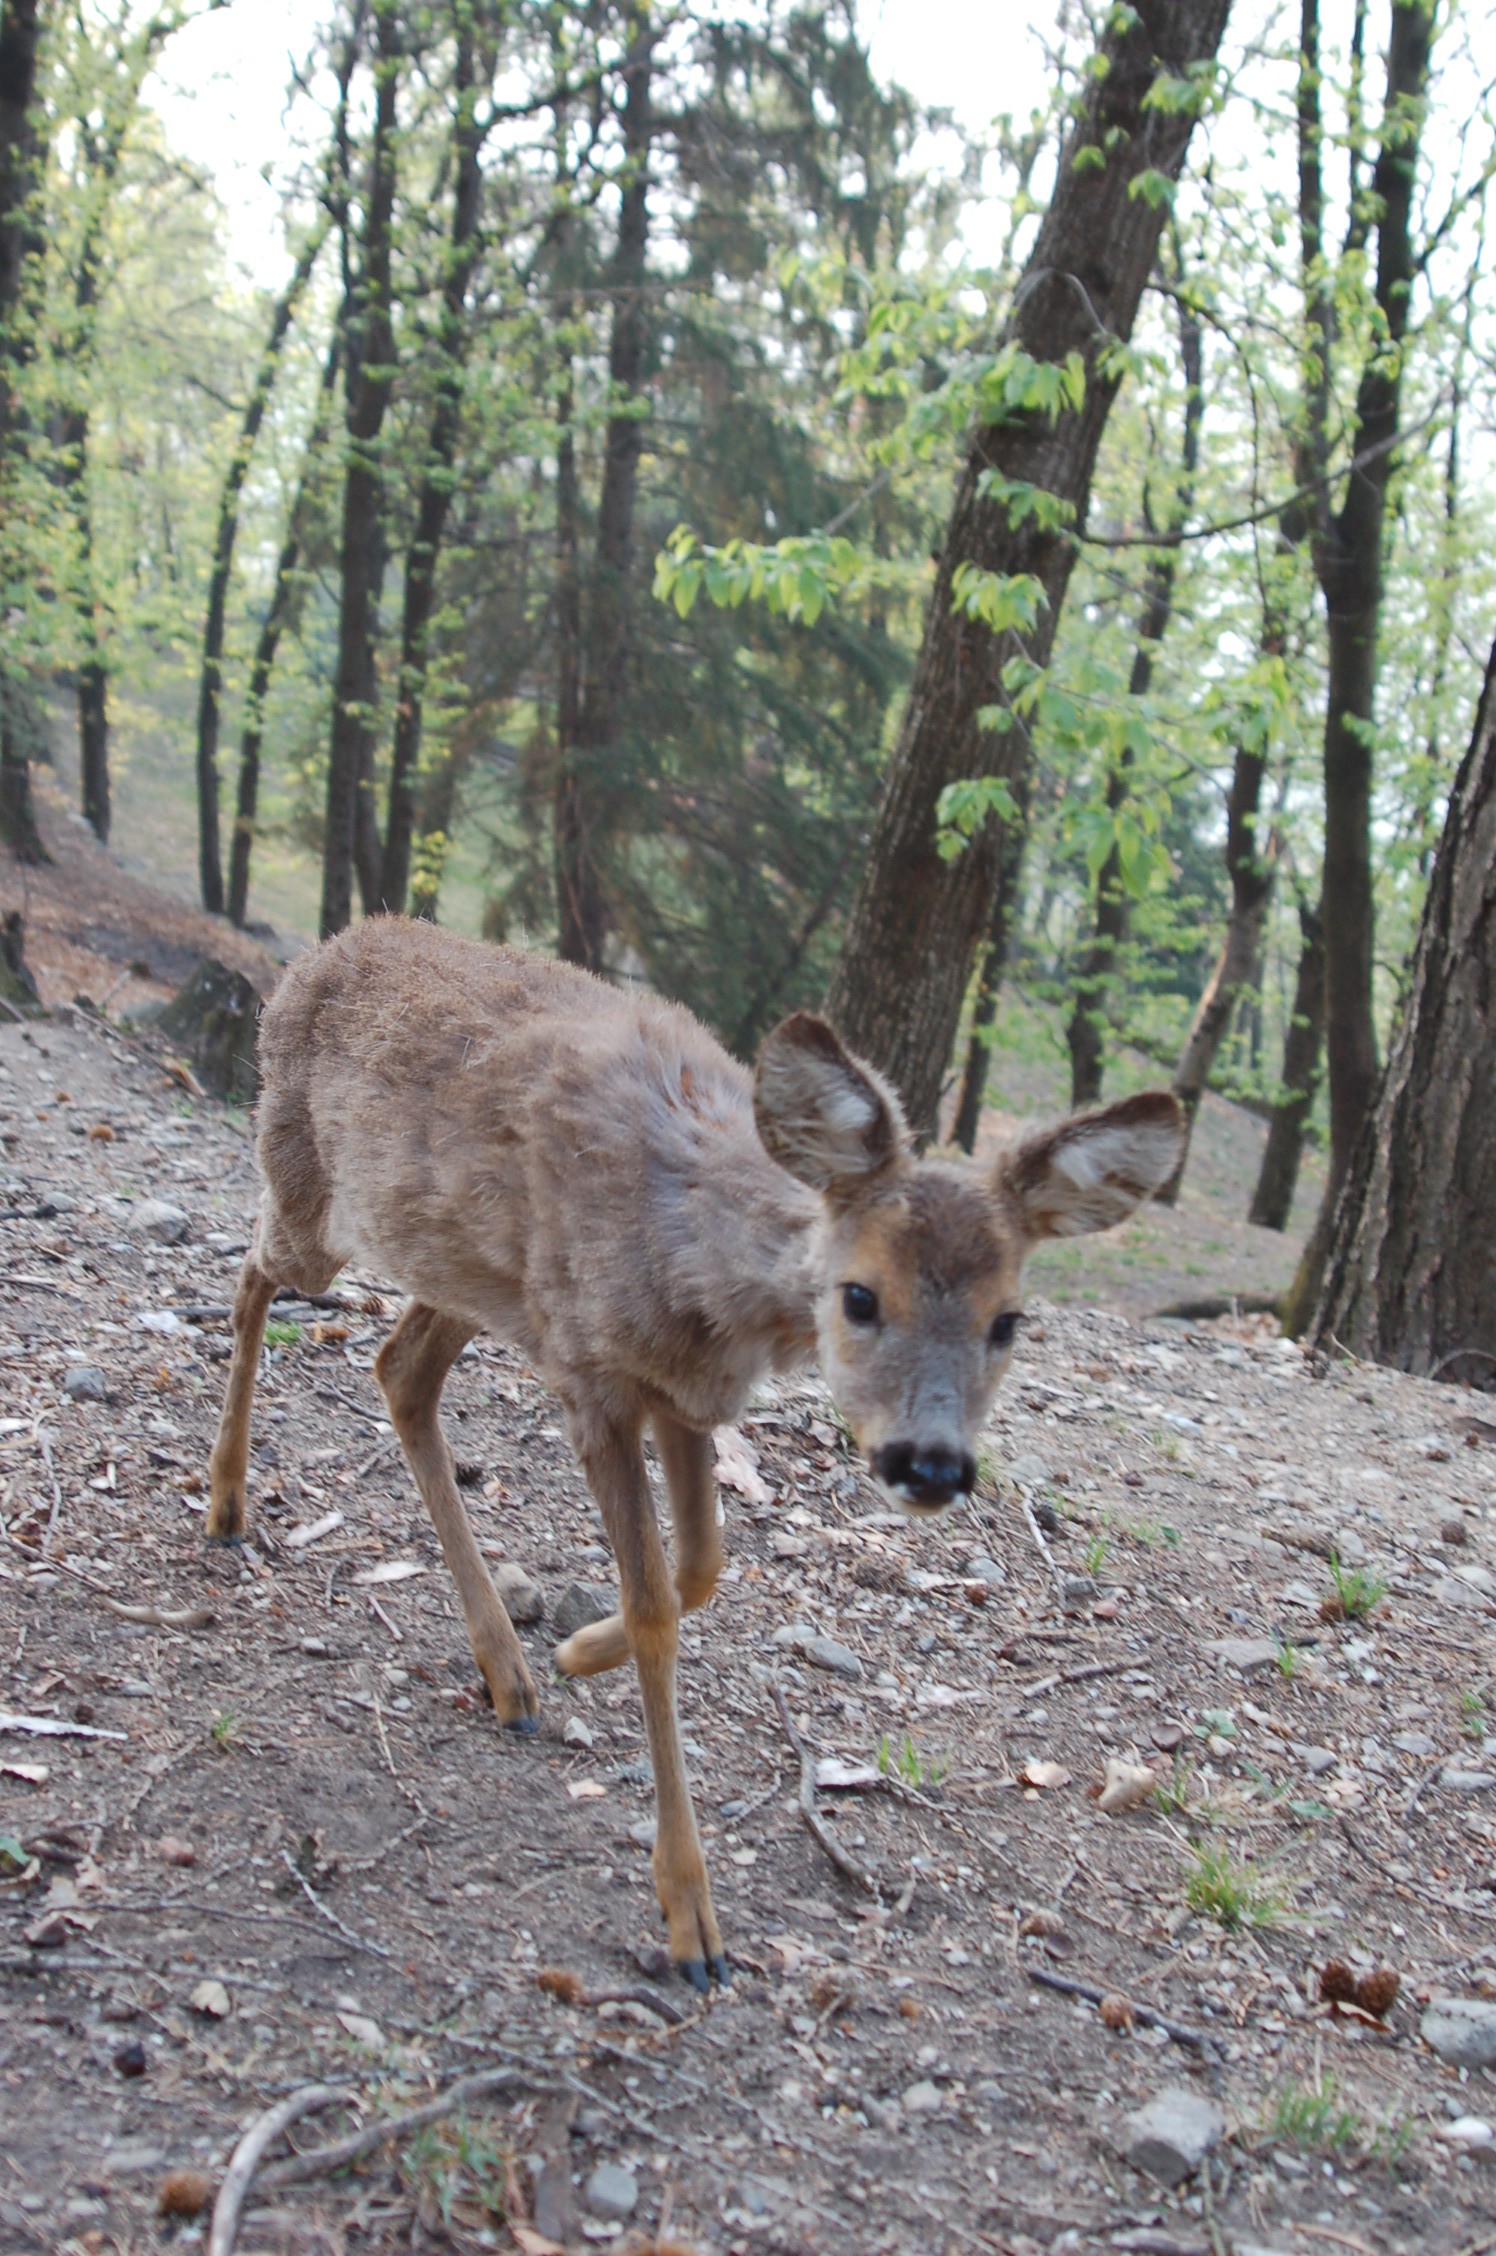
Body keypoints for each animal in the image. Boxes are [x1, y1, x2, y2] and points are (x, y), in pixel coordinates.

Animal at [206, 917, 1185, 1989]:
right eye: (859, 1295)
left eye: (1009, 1321)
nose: (930, 1464)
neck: (700, 1271)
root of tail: (324, 950)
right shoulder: (593, 1377)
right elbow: (655, 1612)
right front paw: (691, 1922)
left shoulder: (682, 1395)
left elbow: (704, 1568)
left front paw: (577, 1650)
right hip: (317, 1198)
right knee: (254, 1274)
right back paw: (227, 1507)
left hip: (470, 1273)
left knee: (398, 1370)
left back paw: (509, 1674)